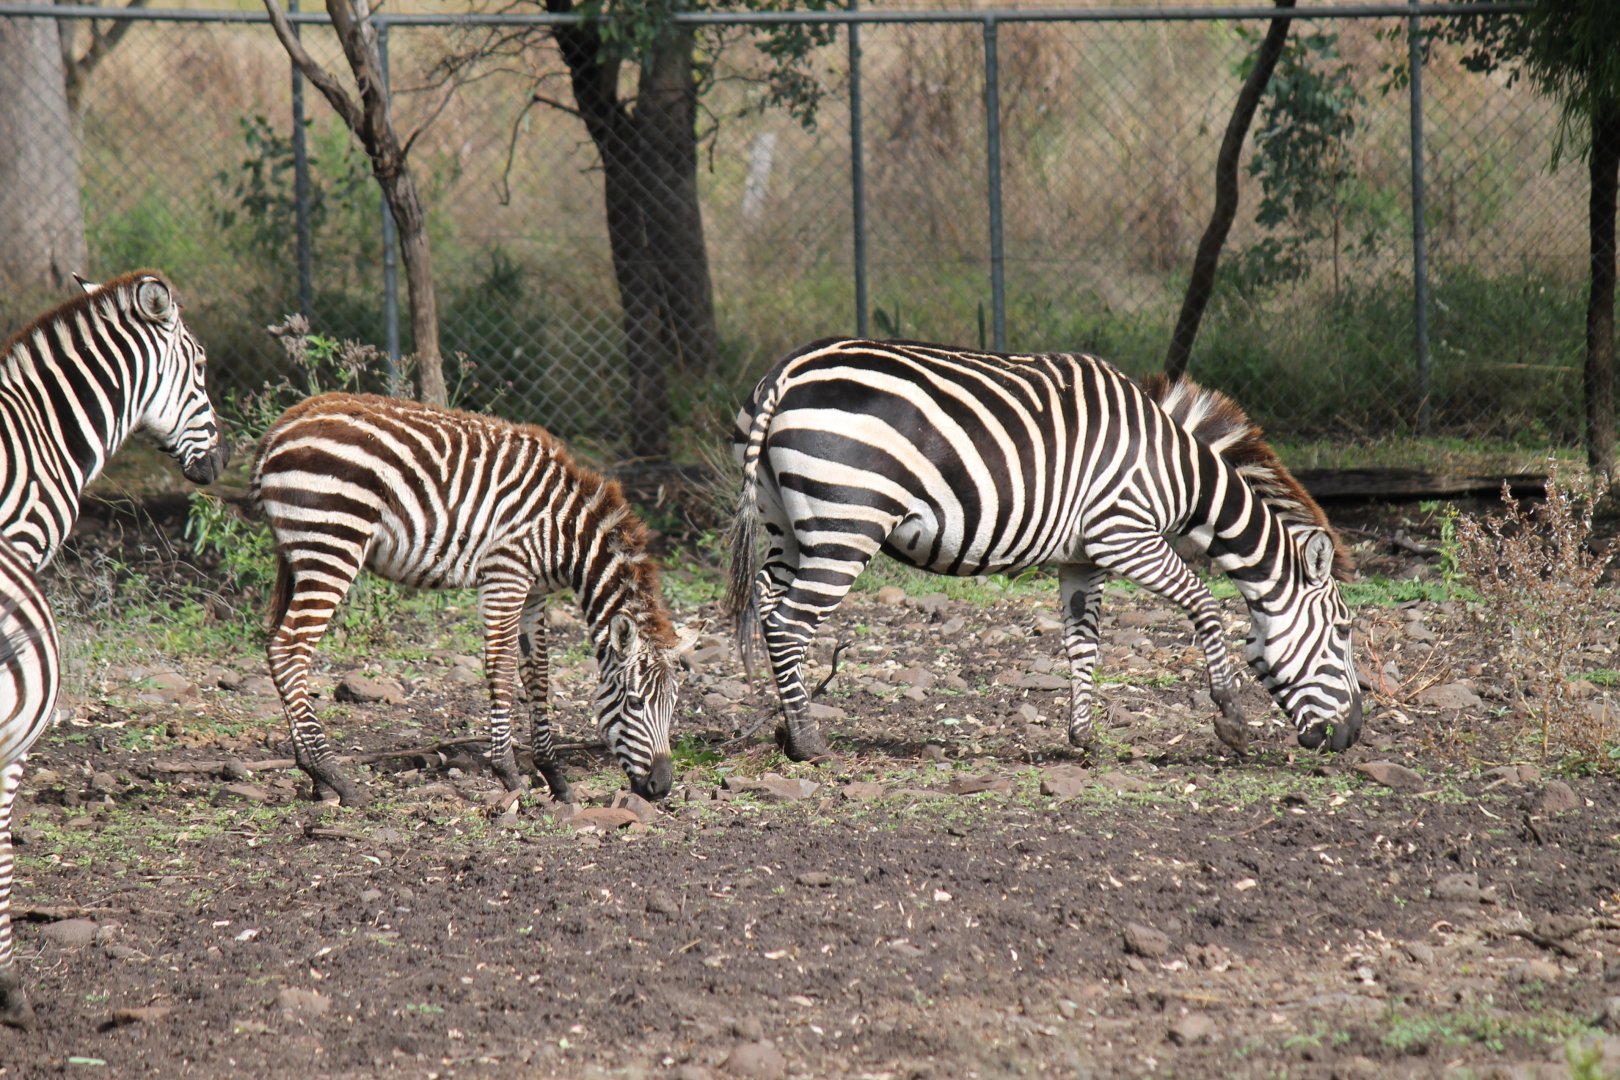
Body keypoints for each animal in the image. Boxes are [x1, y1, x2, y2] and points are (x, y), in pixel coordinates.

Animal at [252, 393, 695, 806]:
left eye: (674, 704)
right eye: (634, 703)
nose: (660, 787)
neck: (568, 532)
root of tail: (281, 428)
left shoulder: (535, 592)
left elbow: (537, 673)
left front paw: (555, 777)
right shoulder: (506, 572)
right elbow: (501, 666)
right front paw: (509, 773)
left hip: (301, 554)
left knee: (276, 647)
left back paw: (314, 777)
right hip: (333, 543)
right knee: (290, 648)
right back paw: (335, 776)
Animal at [725, 337, 1363, 762]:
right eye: (1344, 631)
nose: (1352, 736)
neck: (1179, 473)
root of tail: (788, 371)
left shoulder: (1082, 558)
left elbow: (1084, 643)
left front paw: (1085, 739)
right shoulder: (1124, 534)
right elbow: (1204, 603)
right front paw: (1230, 715)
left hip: (787, 526)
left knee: (768, 604)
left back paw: (784, 727)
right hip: (847, 524)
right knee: (788, 623)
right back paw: (809, 743)